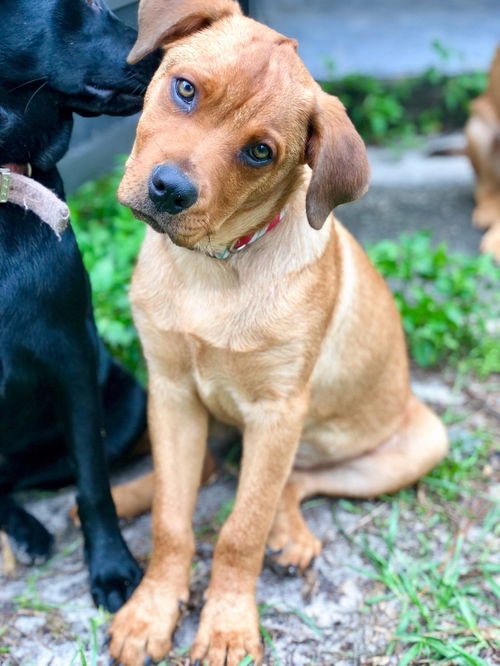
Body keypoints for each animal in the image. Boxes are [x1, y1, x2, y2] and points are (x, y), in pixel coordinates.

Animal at [0, 0, 158, 608]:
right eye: (89, 4)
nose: (169, 52)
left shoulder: (71, 357)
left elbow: (93, 484)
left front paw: (111, 569)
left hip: (127, 400)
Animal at [107, 2, 448, 660]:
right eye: (184, 89)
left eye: (260, 152)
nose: (169, 190)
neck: (213, 268)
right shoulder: (171, 391)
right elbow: (170, 519)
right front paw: (150, 611)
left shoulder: (277, 411)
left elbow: (242, 529)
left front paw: (227, 628)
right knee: (207, 474)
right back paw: (118, 499)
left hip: (419, 441)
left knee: (293, 482)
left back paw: (290, 536)